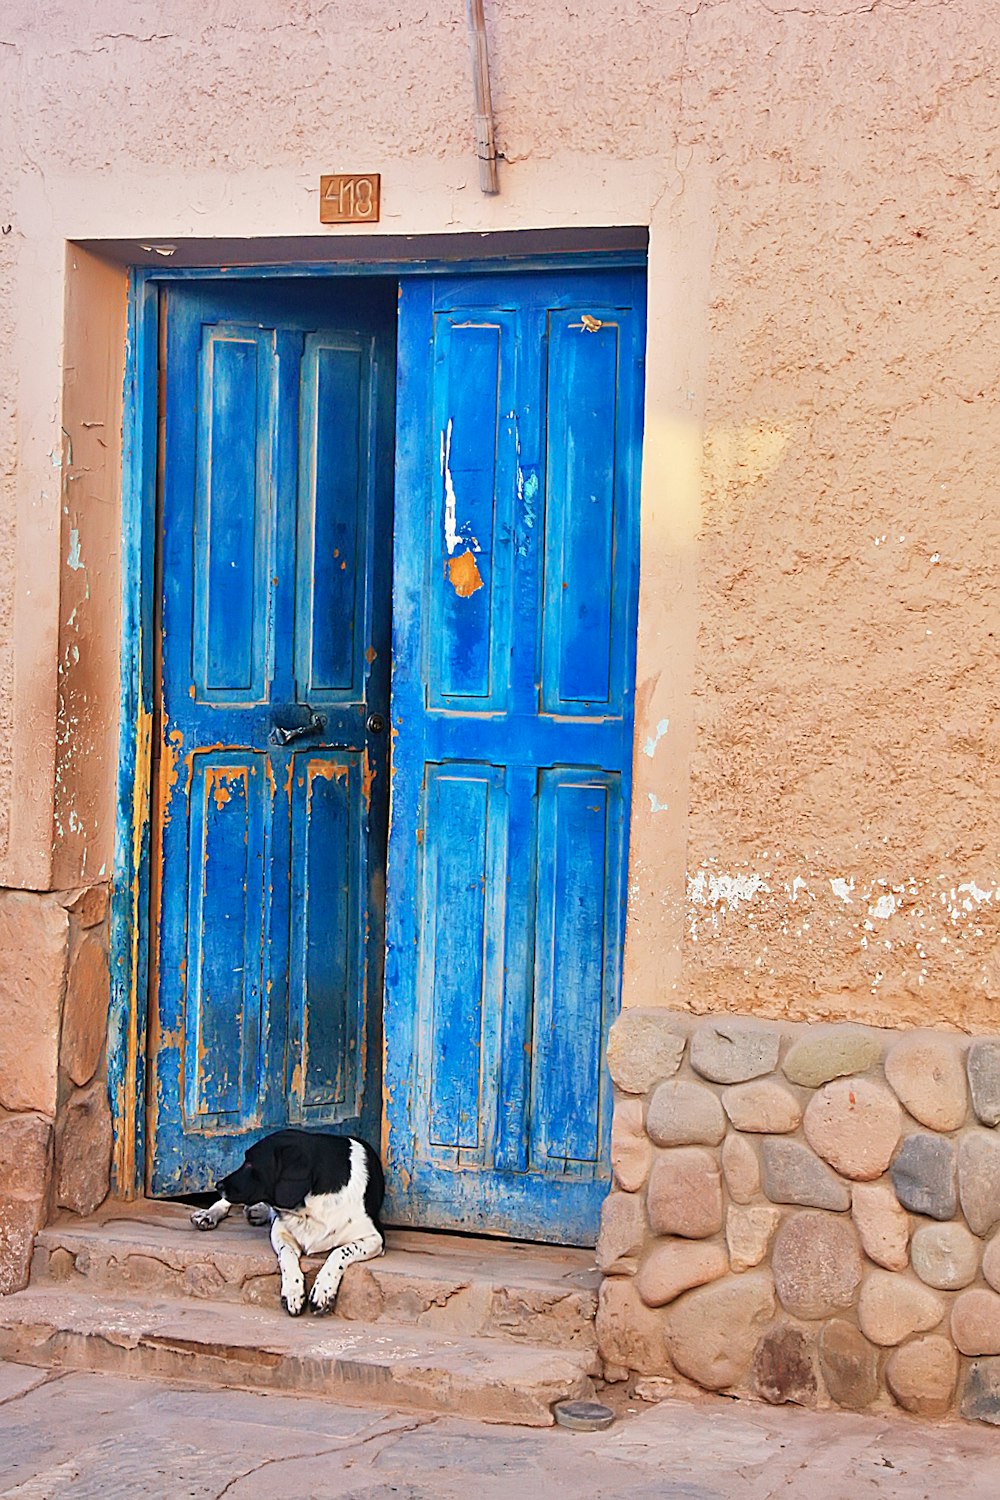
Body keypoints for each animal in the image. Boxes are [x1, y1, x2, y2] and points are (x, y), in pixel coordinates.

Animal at [190, 1128, 383, 1320]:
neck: (310, 1206)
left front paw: (323, 1290)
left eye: (250, 1164)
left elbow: (340, 1252)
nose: (218, 1185)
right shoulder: (279, 1231)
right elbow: (287, 1254)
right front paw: (292, 1292)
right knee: (226, 1203)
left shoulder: (375, 1238)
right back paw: (209, 1214)